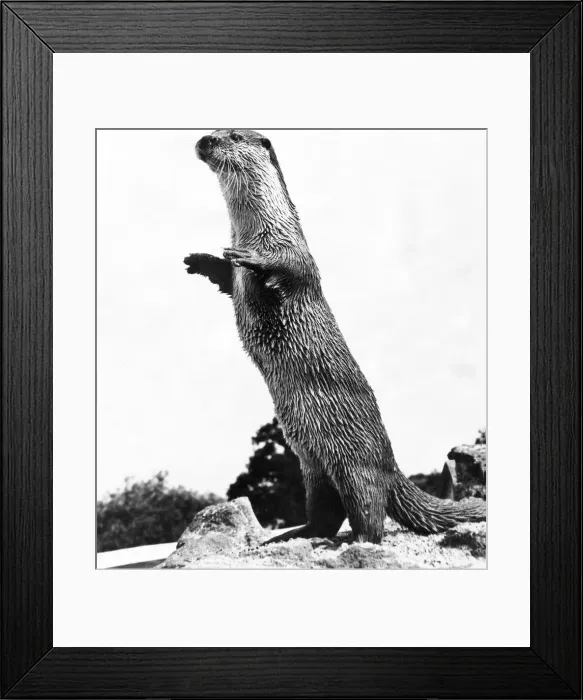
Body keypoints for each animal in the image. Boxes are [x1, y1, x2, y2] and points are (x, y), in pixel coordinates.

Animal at [185, 129, 486, 543]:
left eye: (233, 135)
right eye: (213, 132)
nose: (204, 140)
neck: (259, 230)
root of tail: (390, 464)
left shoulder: (298, 256)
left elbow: (288, 269)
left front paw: (251, 258)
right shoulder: (235, 283)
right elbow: (224, 278)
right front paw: (198, 259)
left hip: (353, 462)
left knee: (369, 512)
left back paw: (355, 544)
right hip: (312, 467)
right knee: (325, 514)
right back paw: (293, 536)